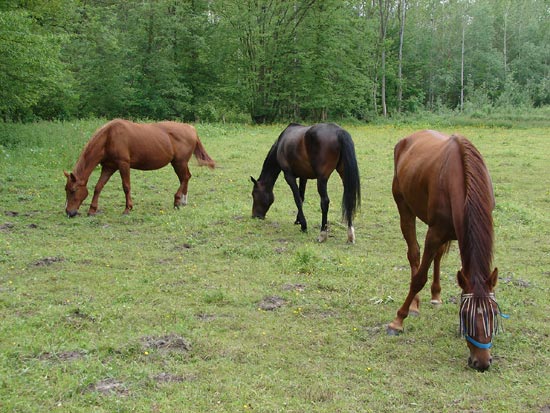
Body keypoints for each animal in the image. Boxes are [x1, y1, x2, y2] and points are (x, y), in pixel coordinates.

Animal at [64, 118, 216, 217]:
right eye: (66, 189)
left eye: (73, 191)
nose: (69, 212)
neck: (109, 137)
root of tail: (191, 129)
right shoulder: (108, 167)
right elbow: (98, 187)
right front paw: (92, 210)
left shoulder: (123, 164)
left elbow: (126, 186)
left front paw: (127, 209)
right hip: (178, 163)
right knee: (185, 177)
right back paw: (183, 201)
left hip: (180, 162)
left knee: (185, 177)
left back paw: (177, 201)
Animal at [388, 130, 508, 370]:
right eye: (466, 314)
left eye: (494, 312)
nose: (482, 363)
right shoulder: (434, 233)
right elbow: (419, 278)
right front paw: (398, 321)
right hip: (405, 207)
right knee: (414, 254)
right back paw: (414, 305)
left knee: (437, 257)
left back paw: (436, 296)